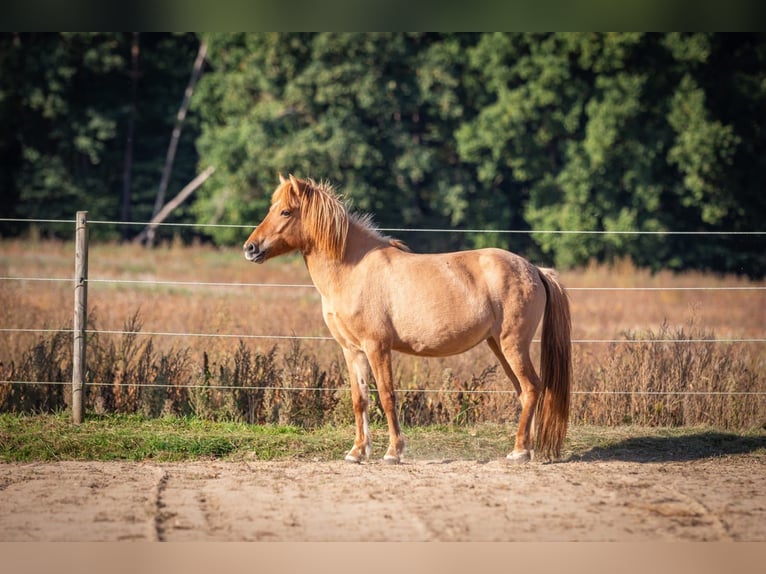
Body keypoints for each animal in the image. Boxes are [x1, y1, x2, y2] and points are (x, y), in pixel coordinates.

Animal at [244, 174, 572, 464]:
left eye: (285, 211)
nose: (250, 248)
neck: (353, 269)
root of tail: (535, 269)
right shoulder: (352, 350)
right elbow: (360, 399)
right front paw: (357, 452)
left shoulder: (377, 347)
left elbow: (387, 396)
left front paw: (393, 452)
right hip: (499, 346)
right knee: (525, 392)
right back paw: (525, 449)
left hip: (512, 344)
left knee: (531, 388)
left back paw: (519, 452)